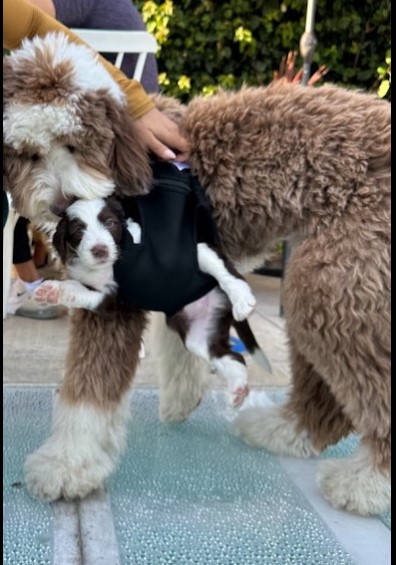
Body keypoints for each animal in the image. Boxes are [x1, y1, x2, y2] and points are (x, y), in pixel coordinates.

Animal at [36, 196, 272, 408]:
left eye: (110, 223)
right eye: (78, 230)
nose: (100, 250)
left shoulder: (179, 254)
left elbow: (219, 266)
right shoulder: (110, 298)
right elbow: (78, 289)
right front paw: (52, 291)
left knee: (222, 271)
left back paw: (240, 301)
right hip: (199, 335)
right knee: (233, 357)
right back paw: (237, 391)